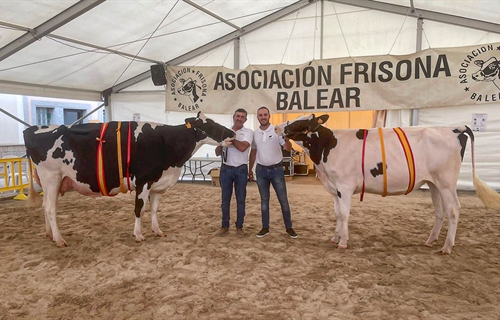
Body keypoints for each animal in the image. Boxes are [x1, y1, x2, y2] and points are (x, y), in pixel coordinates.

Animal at [23, 112, 234, 248]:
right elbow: (139, 208)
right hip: (51, 177)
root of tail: (31, 130)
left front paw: (157, 231)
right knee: (50, 208)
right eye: (209, 124)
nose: (232, 134)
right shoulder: (143, 180)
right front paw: (138, 235)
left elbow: (154, 209)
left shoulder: (157, 183)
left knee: (45, 205)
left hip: (53, 182)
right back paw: (59, 240)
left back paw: (50, 234)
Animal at [276, 114, 500, 254]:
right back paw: (430, 241)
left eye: (299, 124)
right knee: (440, 211)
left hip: (446, 182)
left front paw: (343, 242)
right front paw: (335, 238)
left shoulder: (345, 187)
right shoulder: (335, 188)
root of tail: (456, 128)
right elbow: (337, 214)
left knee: (453, 210)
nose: (277, 126)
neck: (328, 148)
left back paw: (447, 247)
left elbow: (344, 214)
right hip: (433, 183)